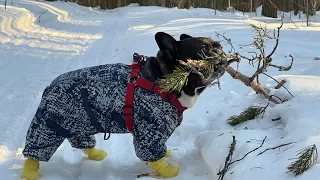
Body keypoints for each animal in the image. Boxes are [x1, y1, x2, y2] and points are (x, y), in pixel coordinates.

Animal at [20, 31, 226, 179]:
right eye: (203, 49)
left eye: (218, 46)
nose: (220, 50)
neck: (163, 78)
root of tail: (50, 86)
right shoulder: (150, 129)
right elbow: (150, 153)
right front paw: (167, 170)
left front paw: (166, 156)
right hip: (50, 122)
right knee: (37, 148)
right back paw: (30, 172)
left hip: (78, 121)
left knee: (81, 140)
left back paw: (96, 154)